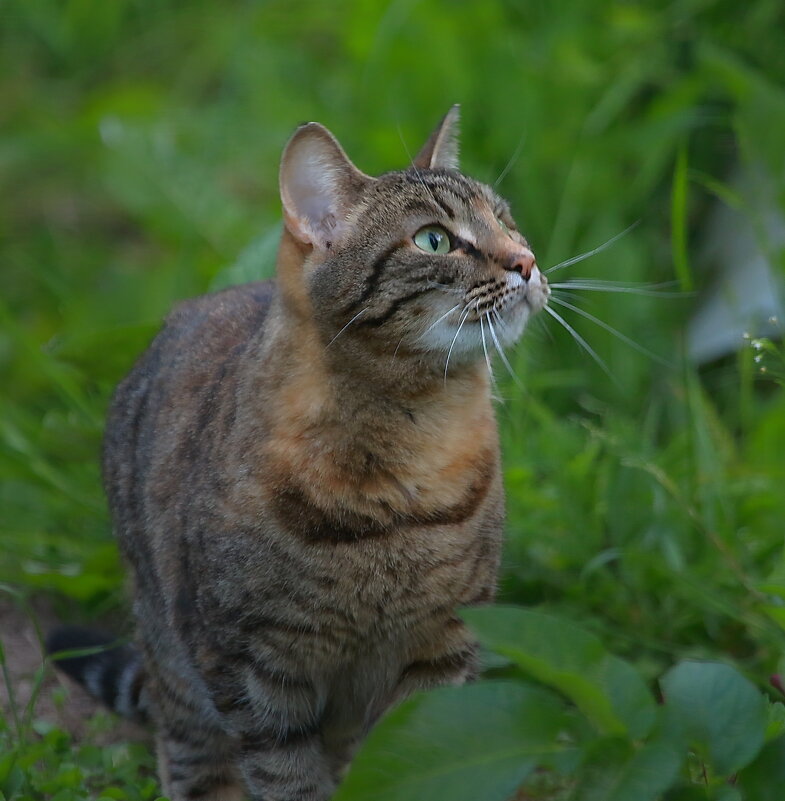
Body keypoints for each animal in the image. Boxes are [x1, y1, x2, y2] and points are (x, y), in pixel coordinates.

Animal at [49, 108, 548, 800]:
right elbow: (287, 778)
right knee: (189, 755)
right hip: (174, 664)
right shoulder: (251, 669)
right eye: (434, 241)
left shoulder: (445, 643)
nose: (527, 260)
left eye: (506, 220)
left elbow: (412, 756)